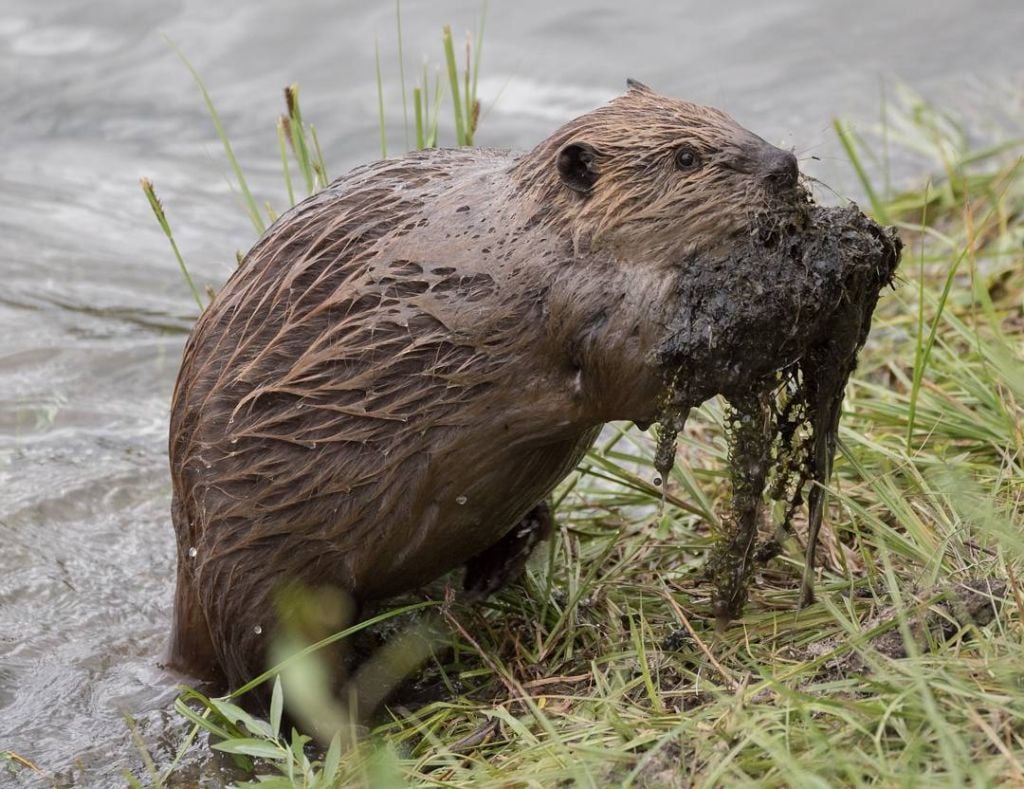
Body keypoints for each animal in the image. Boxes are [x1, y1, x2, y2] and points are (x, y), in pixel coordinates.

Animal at [169, 80, 872, 691]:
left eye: (724, 115)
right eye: (686, 157)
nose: (783, 166)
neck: (527, 232)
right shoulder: (565, 298)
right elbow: (632, 371)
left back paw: (510, 551)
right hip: (262, 574)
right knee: (283, 677)